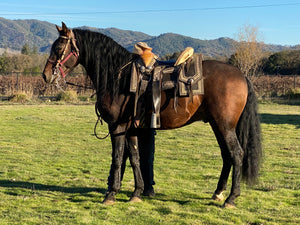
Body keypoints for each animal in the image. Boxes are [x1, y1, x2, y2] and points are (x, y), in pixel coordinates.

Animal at [42, 22, 262, 207]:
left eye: (59, 48)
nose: (46, 75)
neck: (119, 77)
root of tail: (241, 74)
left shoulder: (117, 127)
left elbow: (118, 157)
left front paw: (111, 194)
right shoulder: (131, 128)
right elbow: (135, 158)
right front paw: (137, 192)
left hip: (224, 126)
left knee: (236, 154)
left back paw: (231, 198)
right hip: (217, 125)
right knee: (227, 155)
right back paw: (218, 193)